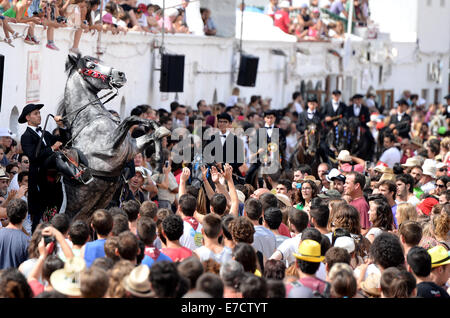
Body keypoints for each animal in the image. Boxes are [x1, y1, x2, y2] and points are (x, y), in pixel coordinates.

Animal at [56, 52, 169, 221]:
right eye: (91, 66)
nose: (120, 74)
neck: (90, 118)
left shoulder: (131, 147)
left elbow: (150, 130)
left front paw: (159, 148)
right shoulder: (109, 149)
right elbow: (130, 119)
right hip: (72, 211)